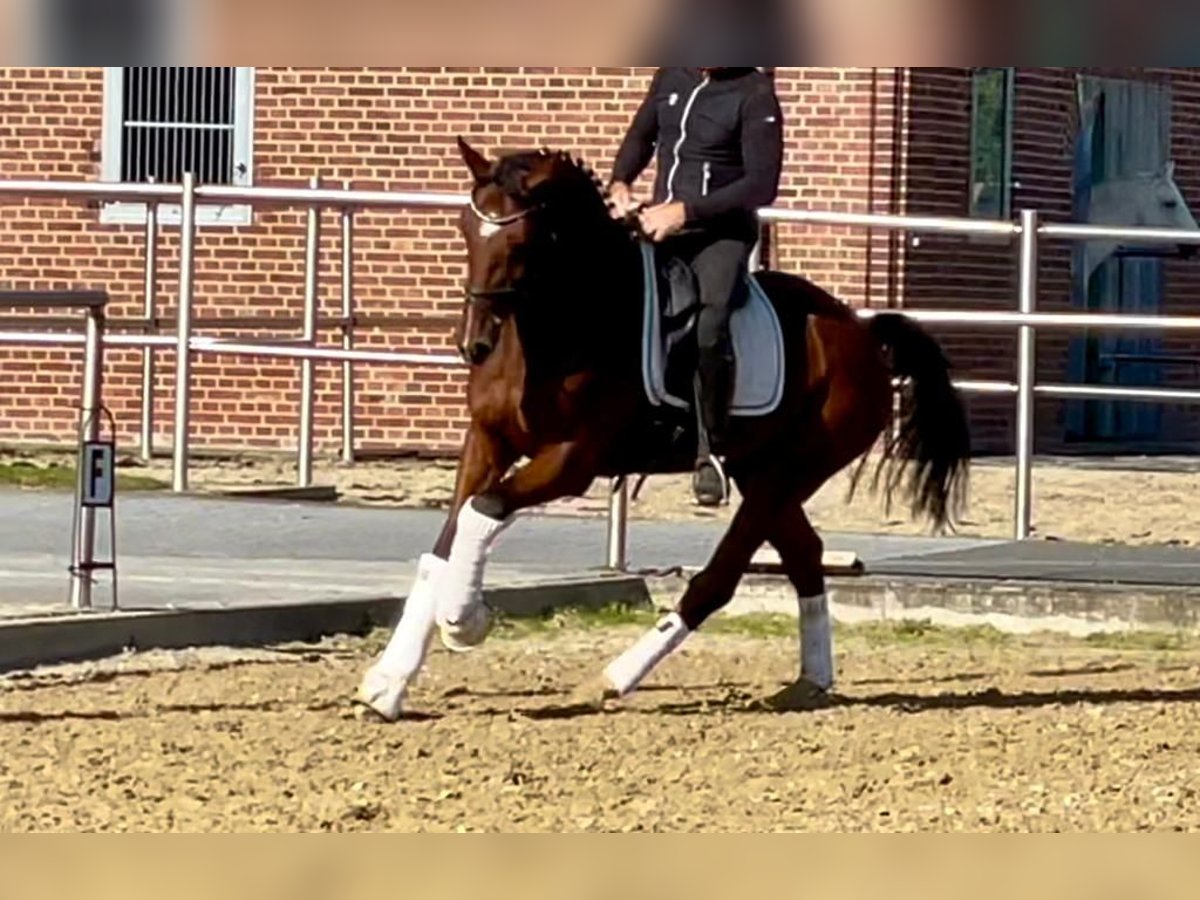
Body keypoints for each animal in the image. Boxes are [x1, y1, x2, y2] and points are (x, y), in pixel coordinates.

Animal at [357, 138, 971, 721]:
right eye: (467, 230)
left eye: (522, 241)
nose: (473, 344)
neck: (564, 325)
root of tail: (861, 332)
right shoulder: (486, 442)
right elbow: (445, 543)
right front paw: (388, 685)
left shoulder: (572, 460)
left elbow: (483, 511)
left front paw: (465, 621)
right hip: (761, 471)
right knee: (803, 554)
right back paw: (810, 682)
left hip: (792, 470)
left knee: (719, 578)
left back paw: (615, 677)